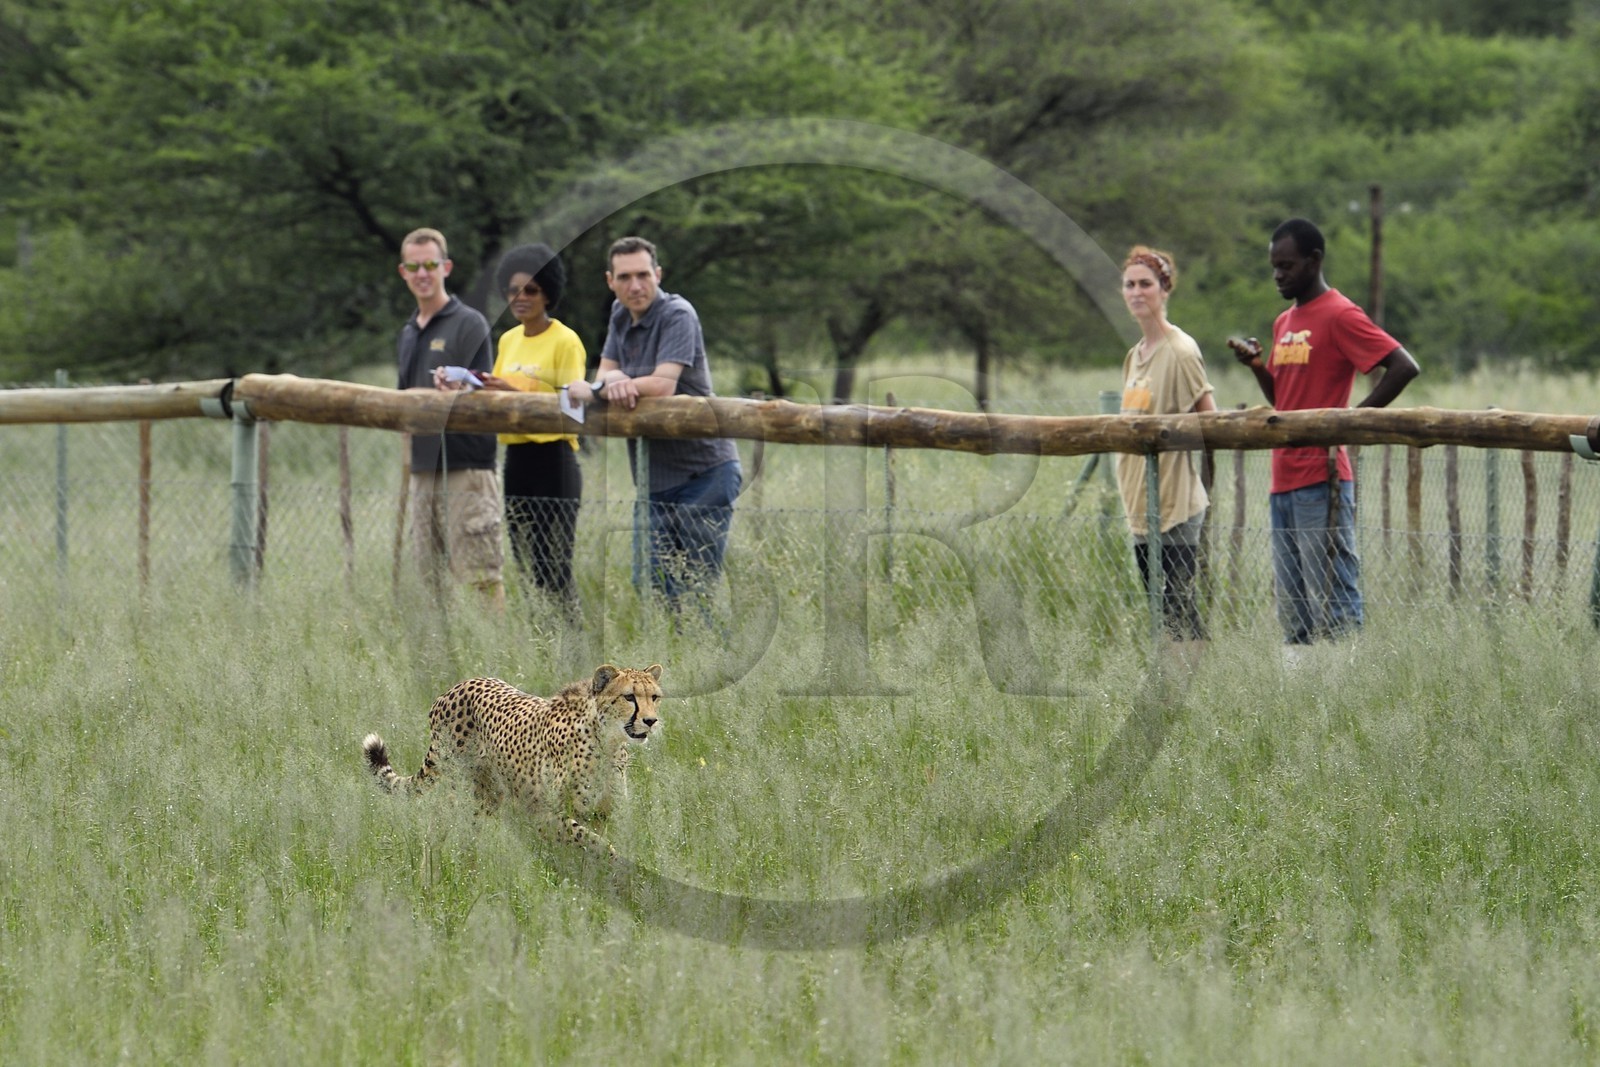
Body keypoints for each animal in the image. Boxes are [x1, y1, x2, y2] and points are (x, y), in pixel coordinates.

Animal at [362, 663, 663, 855]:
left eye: (655, 697)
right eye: (629, 697)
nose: (651, 721)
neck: (607, 742)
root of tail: (456, 687)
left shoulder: (601, 814)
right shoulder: (543, 813)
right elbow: (594, 842)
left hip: (486, 799)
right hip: (461, 794)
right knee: (438, 828)